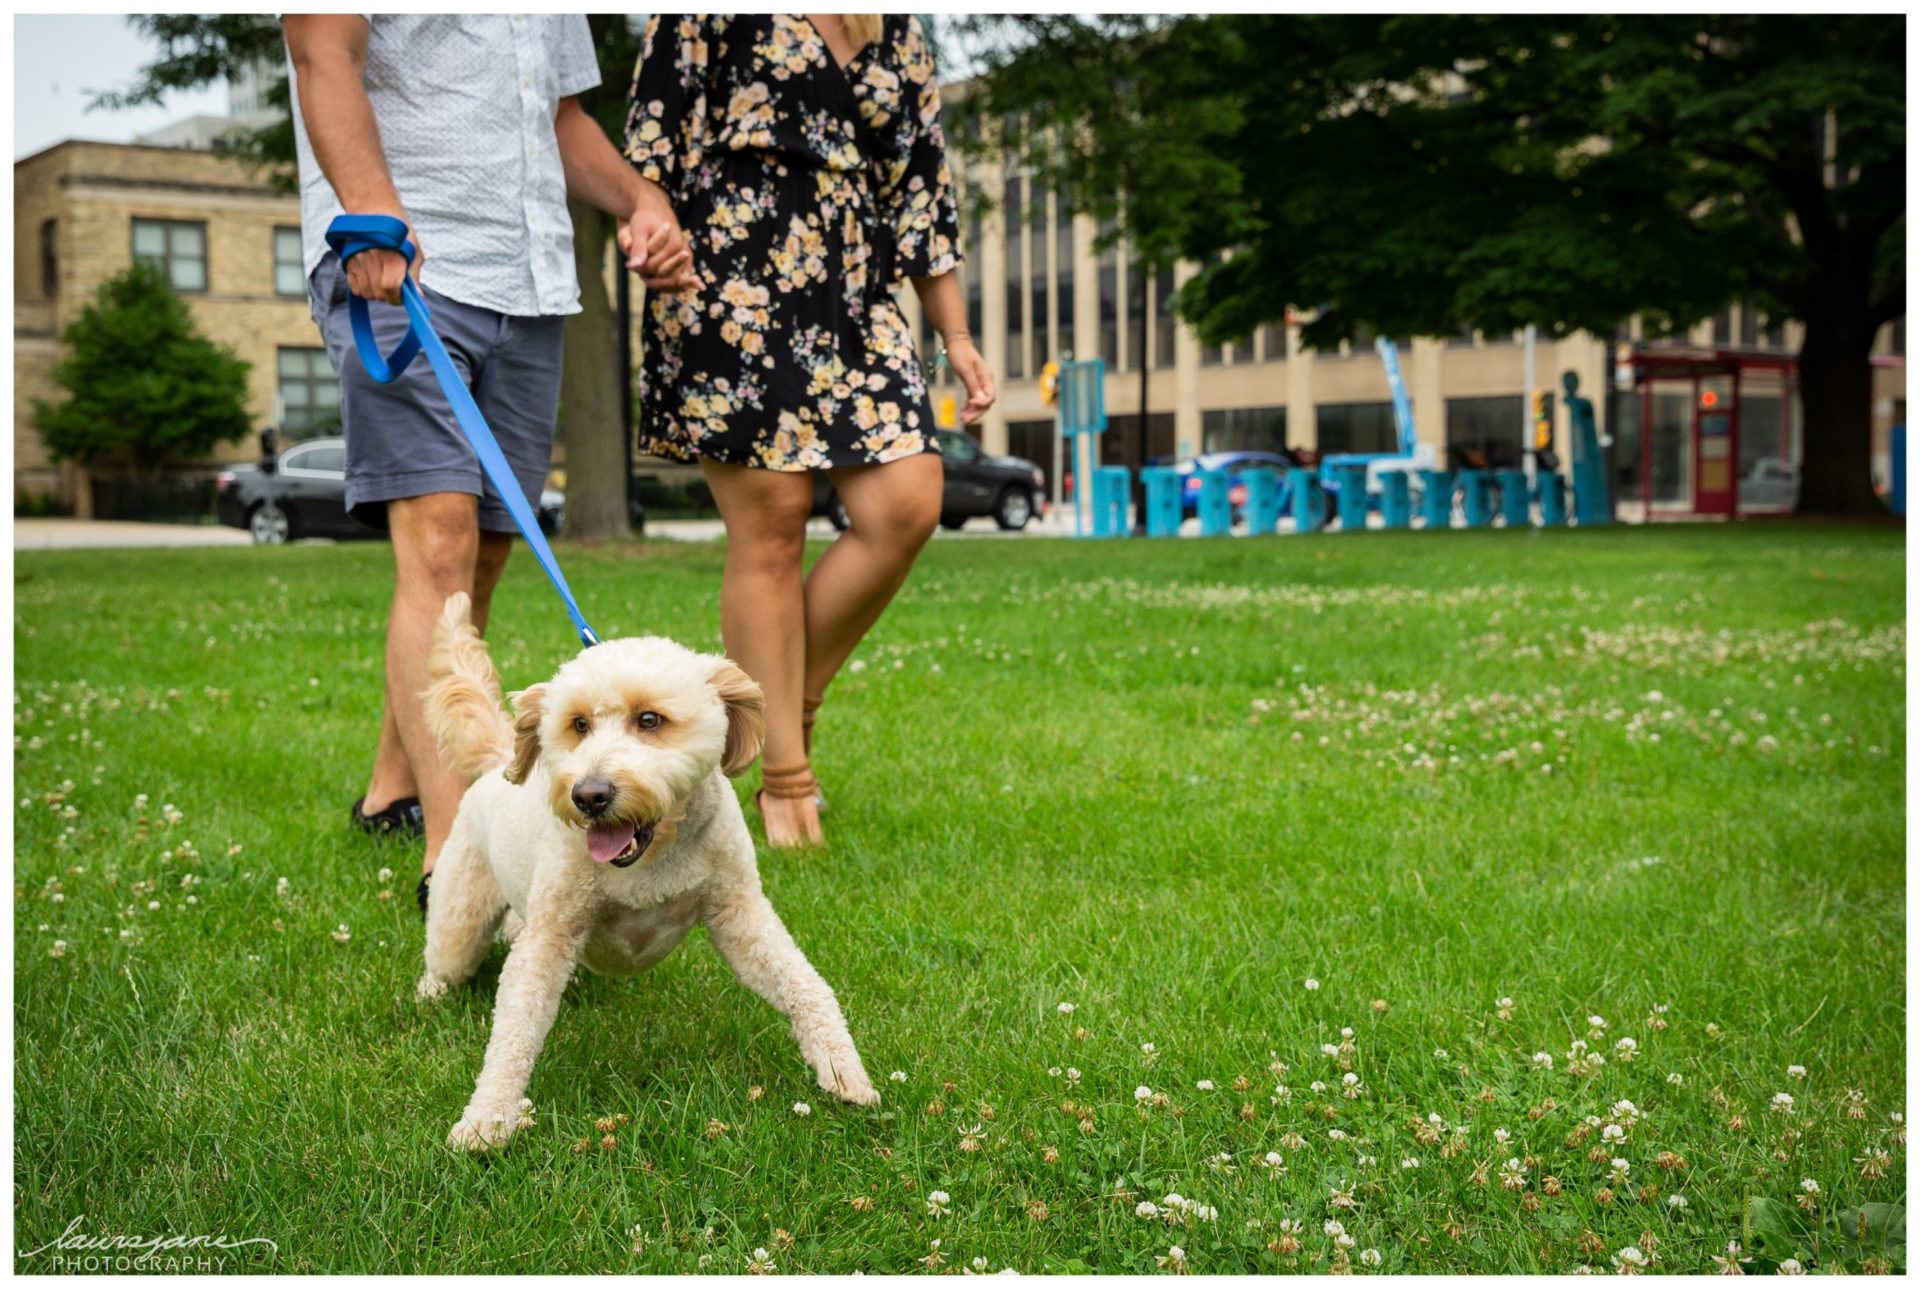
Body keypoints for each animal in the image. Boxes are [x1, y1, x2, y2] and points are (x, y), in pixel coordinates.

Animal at [420, 595, 879, 1152]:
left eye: (649, 719)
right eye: (578, 724)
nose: (589, 795)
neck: (652, 859)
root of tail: (493, 764)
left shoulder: (740, 915)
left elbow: (804, 984)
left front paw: (842, 1066)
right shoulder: (550, 937)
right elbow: (513, 1032)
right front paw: (487, 1117)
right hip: (460, 919)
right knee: (446, 960)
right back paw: (428, 996)